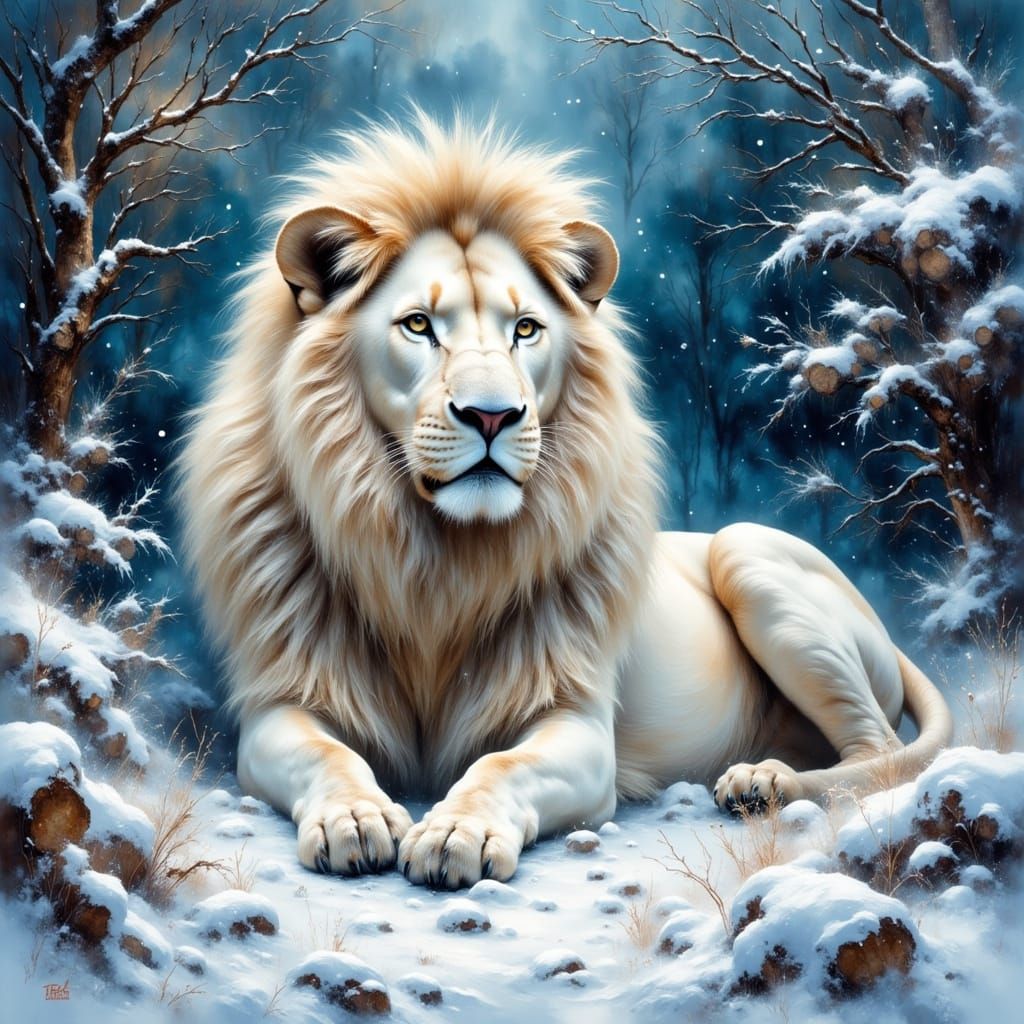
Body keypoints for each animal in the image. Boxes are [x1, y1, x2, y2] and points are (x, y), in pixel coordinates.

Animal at [180, 113, 953, 889]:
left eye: (526, 329)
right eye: (419, 325)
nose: (492, 415)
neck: (438, 561)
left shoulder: (578, 724)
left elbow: (502, 764)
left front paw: (456, 832)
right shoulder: (283, 701)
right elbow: (327, 753)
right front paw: (356, 818)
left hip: (748, 553)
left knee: (875, 752)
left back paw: (762, 783)